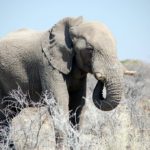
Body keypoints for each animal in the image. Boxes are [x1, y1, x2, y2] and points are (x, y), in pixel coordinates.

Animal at [0, 16, 135, 149]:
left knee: (7, 115)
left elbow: (78, 106)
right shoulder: (48, 64)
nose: (101, 78)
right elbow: (59, 104)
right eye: (90, 49)